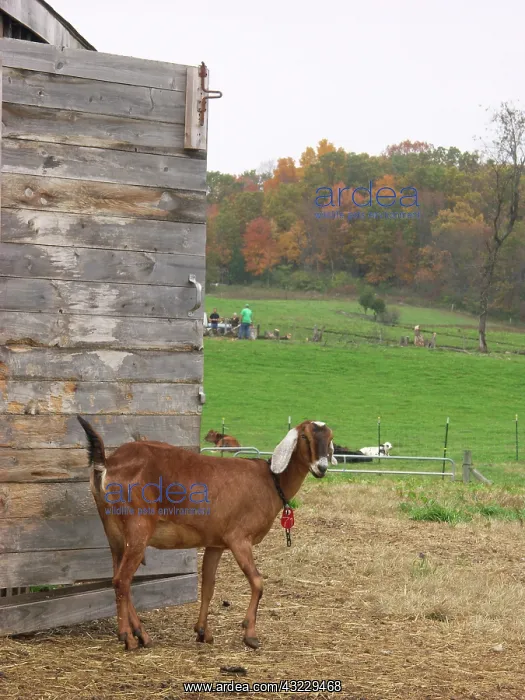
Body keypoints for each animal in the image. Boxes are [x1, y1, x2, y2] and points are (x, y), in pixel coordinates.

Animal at [77, 417, 337, 651]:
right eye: (305, 437)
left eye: (330, 438)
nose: (321, 468)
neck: (271, 482)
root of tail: (107, 463)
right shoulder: (239, 538)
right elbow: (257, 582)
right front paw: (250, 635)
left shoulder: (216, 543)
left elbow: (208, 586)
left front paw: (203, 632)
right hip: (138, 526)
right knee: (122, 580)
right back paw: (128, 638)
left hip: (113, 531)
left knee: (117, 578)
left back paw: (142, 635)